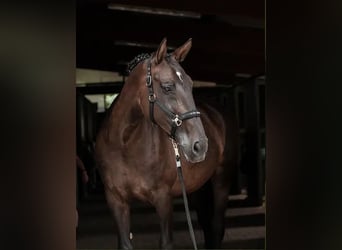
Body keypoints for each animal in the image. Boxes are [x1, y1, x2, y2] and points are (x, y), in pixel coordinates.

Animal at [93, 38, 238, 249]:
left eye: (191, 85)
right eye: (168, 86)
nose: (200, 145)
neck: (124, 145)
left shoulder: (163, 198)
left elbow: (166, 242)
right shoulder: (116, 200)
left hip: (222, 179)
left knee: (217, 225)